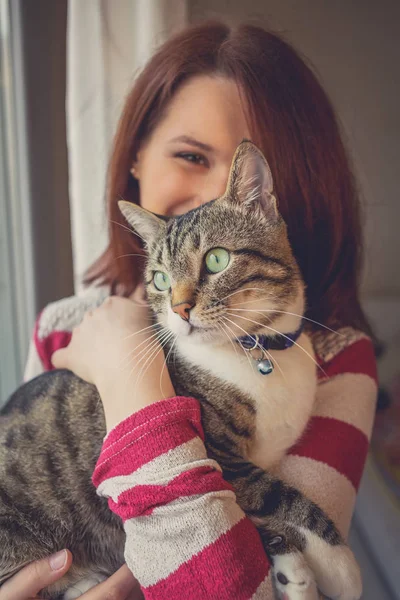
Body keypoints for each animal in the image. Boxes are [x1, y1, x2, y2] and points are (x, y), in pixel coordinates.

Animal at [0, 142, 362, 600]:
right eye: (159, 279)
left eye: (217, 259)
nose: (179, 308)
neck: (257, 350)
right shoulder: (220, 457)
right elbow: (278, 495)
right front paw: (338, 565)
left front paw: (293, 572)